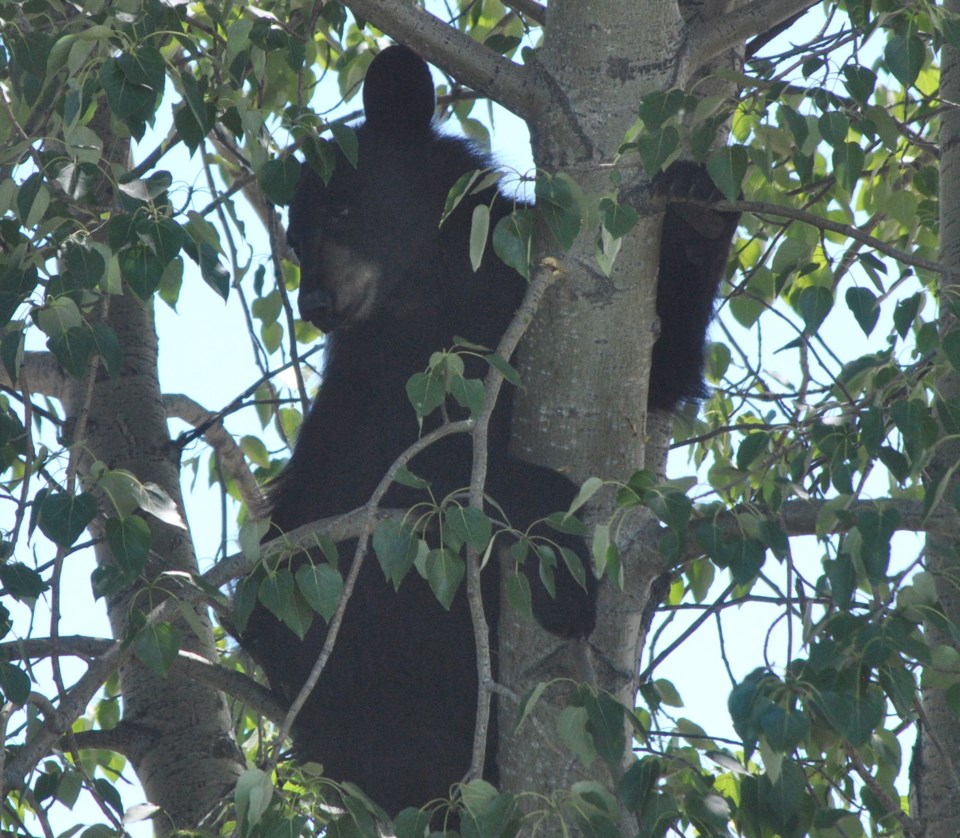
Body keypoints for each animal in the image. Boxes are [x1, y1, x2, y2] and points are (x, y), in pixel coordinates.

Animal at [238, 44, 736, 820]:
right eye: (292, 238)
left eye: (343, 207)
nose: (315, 302)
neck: (436, 291)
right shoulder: (374, 390)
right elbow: (405, 480)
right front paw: (558, 546)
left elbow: (666, 366)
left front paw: (696, 206)